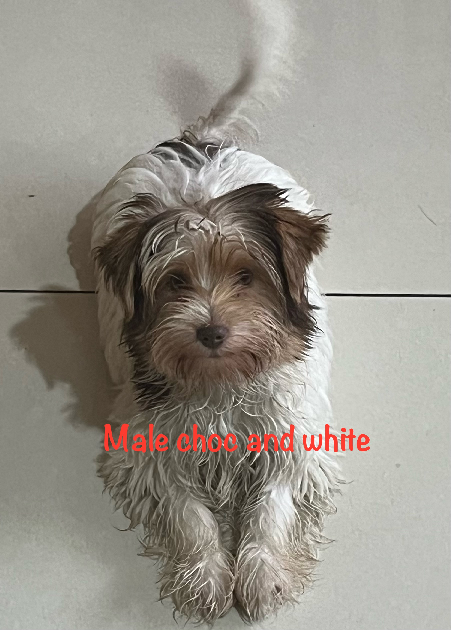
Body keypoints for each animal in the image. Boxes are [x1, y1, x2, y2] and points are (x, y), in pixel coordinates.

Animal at [91, 0, 341, 623]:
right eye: (175, 282)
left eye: (247, 277)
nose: (211, 330)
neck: (222, 382)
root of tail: (195, 141)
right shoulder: (150, 445)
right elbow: (188, 512)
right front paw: (206, 576)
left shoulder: (291, 437)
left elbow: (272, 506)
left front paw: (262, 575)